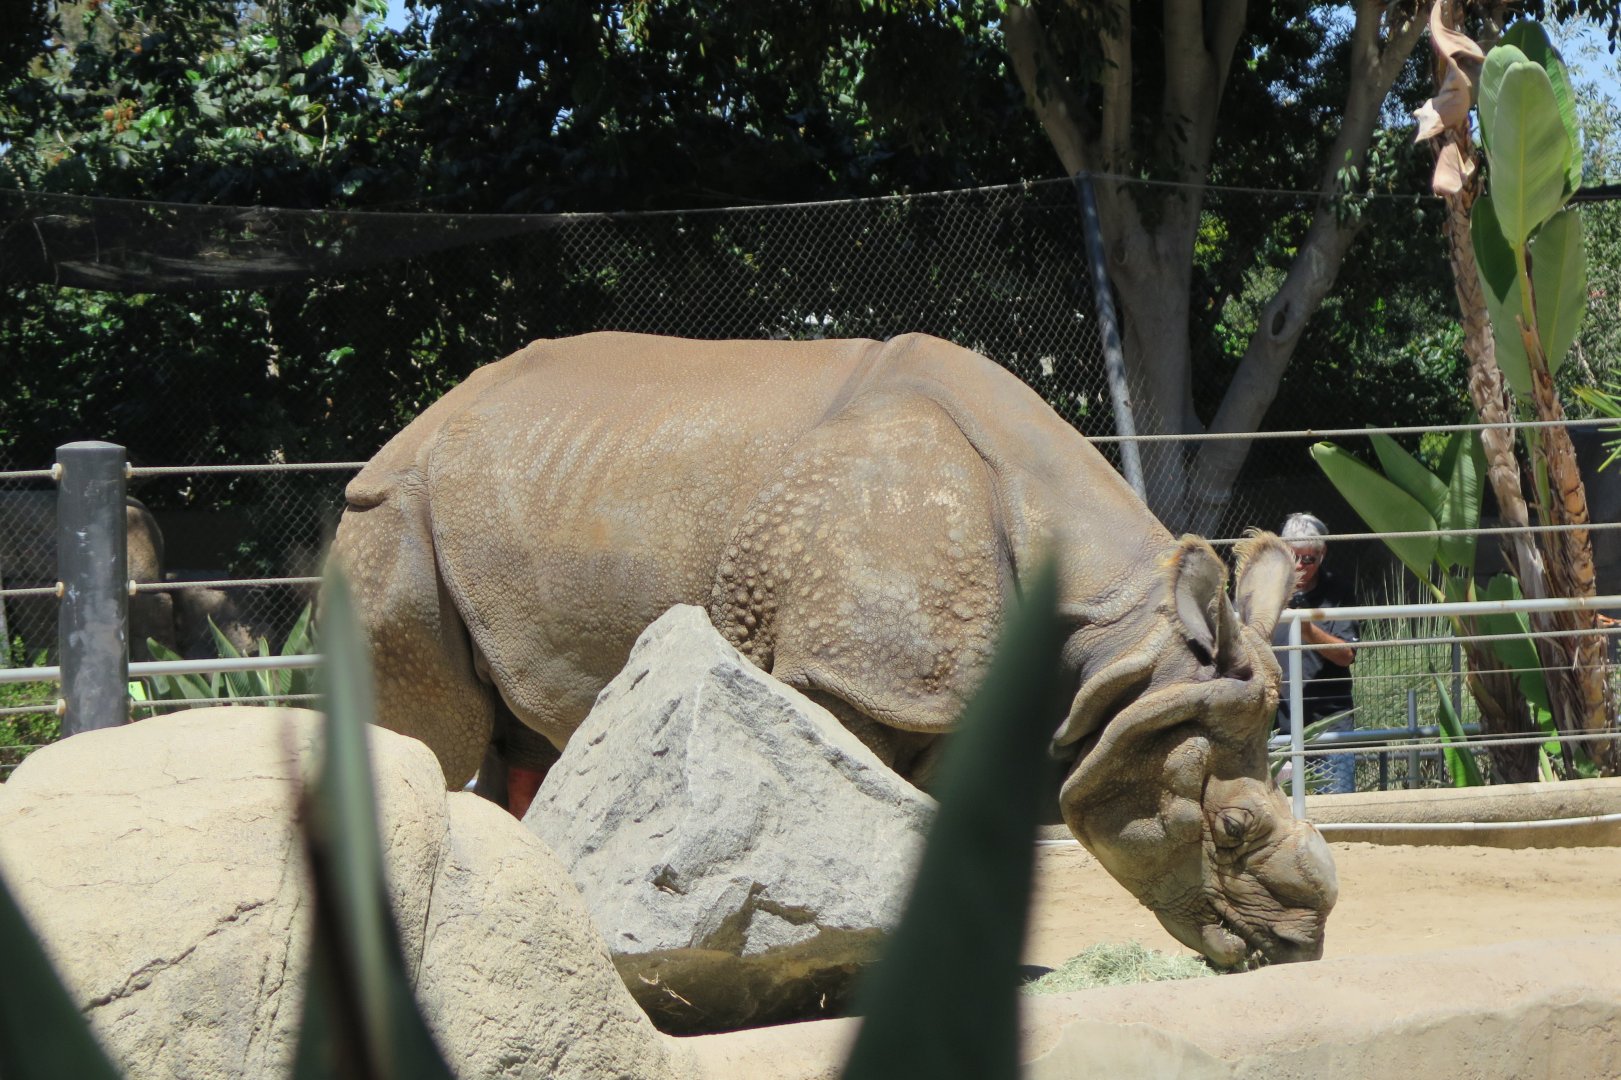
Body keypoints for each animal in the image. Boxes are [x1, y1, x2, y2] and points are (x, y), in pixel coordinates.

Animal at [330, 331, 1337, 969]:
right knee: (430, 734)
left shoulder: (949, 695)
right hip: (387, 517)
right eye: (1232, 827)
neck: (1117, 642)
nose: (1297, 949)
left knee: (523, 742)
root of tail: (414, 427)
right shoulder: (850, 672)